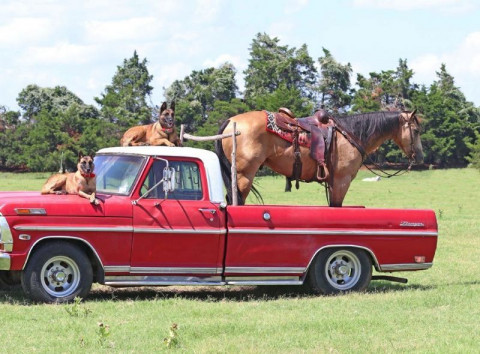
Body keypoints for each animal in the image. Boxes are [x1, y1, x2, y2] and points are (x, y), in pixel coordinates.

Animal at [216, 109, 422, 206]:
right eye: (416, 130)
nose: (419, 156)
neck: (351, 135)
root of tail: (230, 122)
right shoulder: (341, 181)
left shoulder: (332, 182)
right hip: (244, 176)